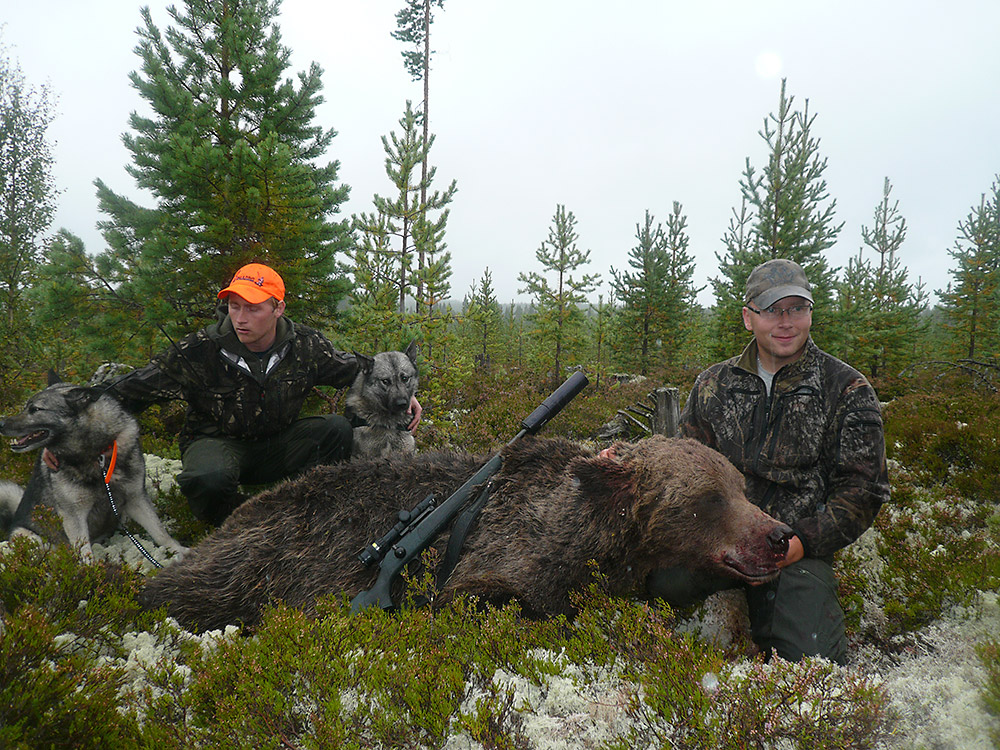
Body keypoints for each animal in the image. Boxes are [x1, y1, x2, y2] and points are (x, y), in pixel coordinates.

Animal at [0, 378, 188, 560]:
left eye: (35, 409)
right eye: (26, 407)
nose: (1, 423)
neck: (95, 455)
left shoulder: (136, 498)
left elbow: (159, 531)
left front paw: (178, 550)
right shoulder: (73, 514)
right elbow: (84, 553)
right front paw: (88, 569)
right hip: (30, 538)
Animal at [143, 438, 796, 632]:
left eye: (743, 486)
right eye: (708, 499)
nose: (780, 535)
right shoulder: (502, 560)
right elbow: (494, 598)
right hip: (255, 559)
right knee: (184, 590)